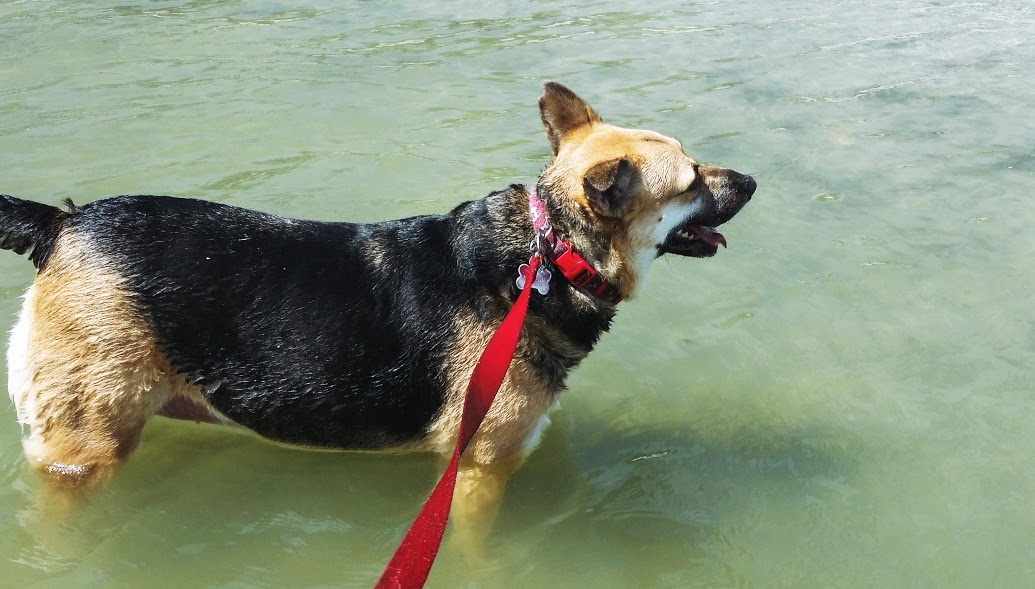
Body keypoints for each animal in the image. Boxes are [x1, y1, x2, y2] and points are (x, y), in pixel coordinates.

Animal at [0, 82, 753, 538]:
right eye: (690, 182)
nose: (750, 179)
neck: (545, 255)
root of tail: (61, 224)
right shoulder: (478, 472)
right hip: (85, 447)